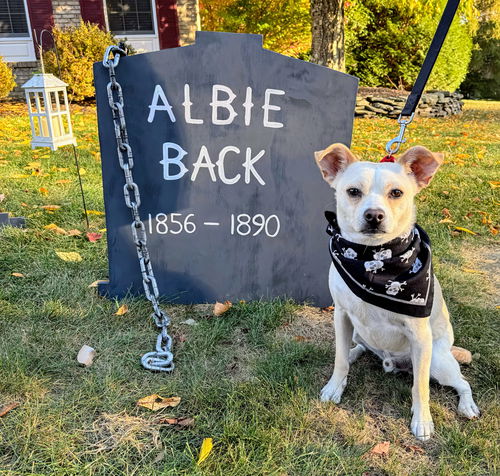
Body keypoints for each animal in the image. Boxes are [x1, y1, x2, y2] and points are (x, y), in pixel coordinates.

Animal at [316, 143, 480, 440]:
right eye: (353, 191)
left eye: (396, 193)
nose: (374, 215)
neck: (372, 258)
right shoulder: (341, 316)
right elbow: (340, 359)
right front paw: (335, 386)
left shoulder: (419, 335)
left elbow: (421, 387)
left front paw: (422, 421)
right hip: (357, 332)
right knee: (358, 347)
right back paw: (356, 352)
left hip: (438, 360)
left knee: (461, 382)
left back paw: (467, 405)